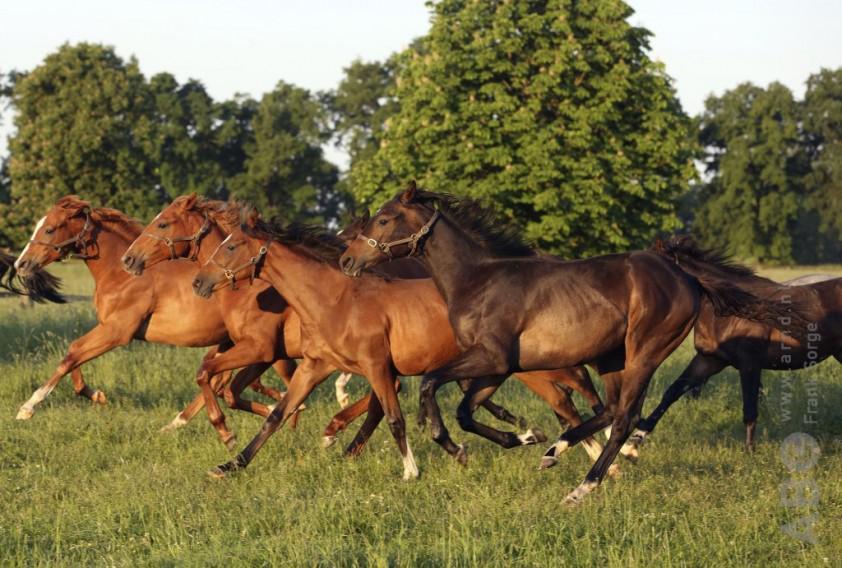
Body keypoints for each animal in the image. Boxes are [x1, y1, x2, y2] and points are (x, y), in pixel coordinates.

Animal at [12, 196, 289, 448]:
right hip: (231, 343)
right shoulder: (107, 328)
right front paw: (97, 396)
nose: (20, 264)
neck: (121, 274)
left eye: (49, 229)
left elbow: (71, 356)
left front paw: (27, 408)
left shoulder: (117, 331)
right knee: (220, 381)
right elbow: (74, 354)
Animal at [190, 214, 612, 480]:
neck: (335, 299)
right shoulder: (315, 366)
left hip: (538, 367)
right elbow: (277, 416)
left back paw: (600, 457)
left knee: (571, 401)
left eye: (231, 247)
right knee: (569, 404)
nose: (198, 283)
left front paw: (414, 469)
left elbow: (393, 417)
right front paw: (229, 466)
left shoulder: (376, 366)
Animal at [338, 183, 800, 504]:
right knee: (610, 411)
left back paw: (583, 487)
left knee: (624, 418)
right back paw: (554, 450)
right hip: (612, 359)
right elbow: (467, 411)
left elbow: (432, 385)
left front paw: (449, 443)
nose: (347, 260)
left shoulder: (490, 357)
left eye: (384, 219)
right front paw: (525, 438)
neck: (478, 279)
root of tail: (683, 274)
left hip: (644, 354)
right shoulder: (499, 368)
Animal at [627, 273, 841, 453]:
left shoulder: (749, 363)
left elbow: (750, 408)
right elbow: (673, 391)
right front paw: (635, 441)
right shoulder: (710, 360)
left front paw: (749, 452)